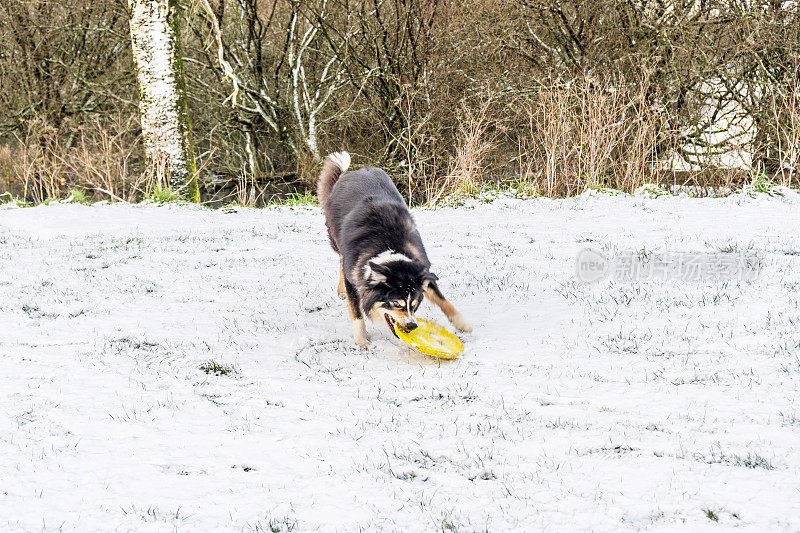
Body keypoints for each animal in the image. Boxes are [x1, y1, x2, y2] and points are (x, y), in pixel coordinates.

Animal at [318, 151, 472, 350]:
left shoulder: (419, 269)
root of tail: (352, 172)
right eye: (396, 303)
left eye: (414, 305)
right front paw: (361, 340)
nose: (413, 326)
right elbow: (356, 311)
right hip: (335, 237)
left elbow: (441, 298)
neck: (388, 247)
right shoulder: (354, 277)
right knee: (340, 260)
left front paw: (462, 322)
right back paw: (341, 289)